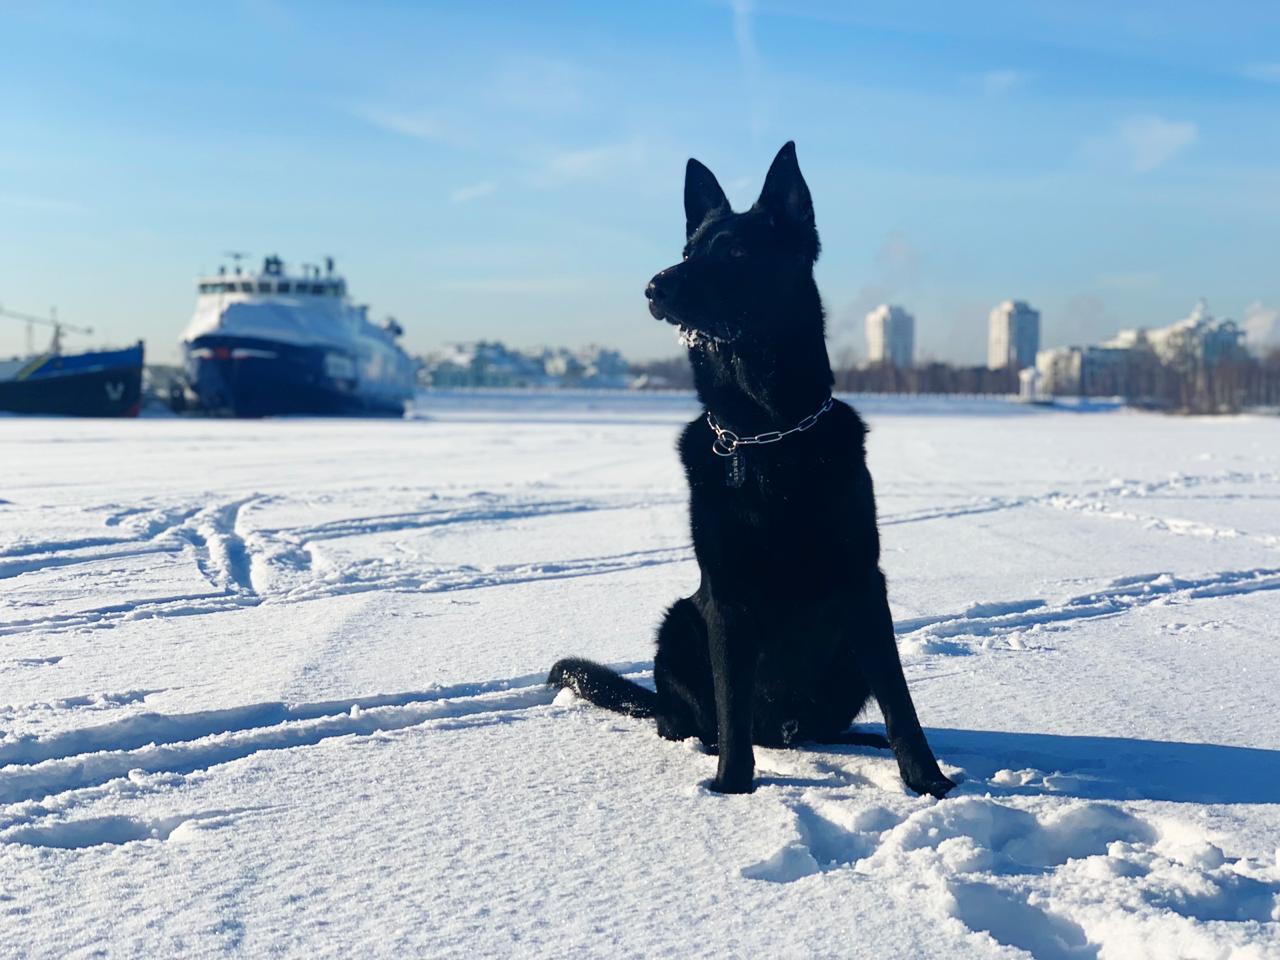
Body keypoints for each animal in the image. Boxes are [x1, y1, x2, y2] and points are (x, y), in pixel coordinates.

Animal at [545, 142, 957, 798]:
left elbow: (900, 702)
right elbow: (732, 703)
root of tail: (782, 730)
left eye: (737, 252)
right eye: (689, 252)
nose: (654, 287)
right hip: (680, 623)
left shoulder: (865, 587)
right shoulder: (727, 596)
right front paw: (732, 790)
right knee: (692, 719)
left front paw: (930, 784)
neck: (764, 437)